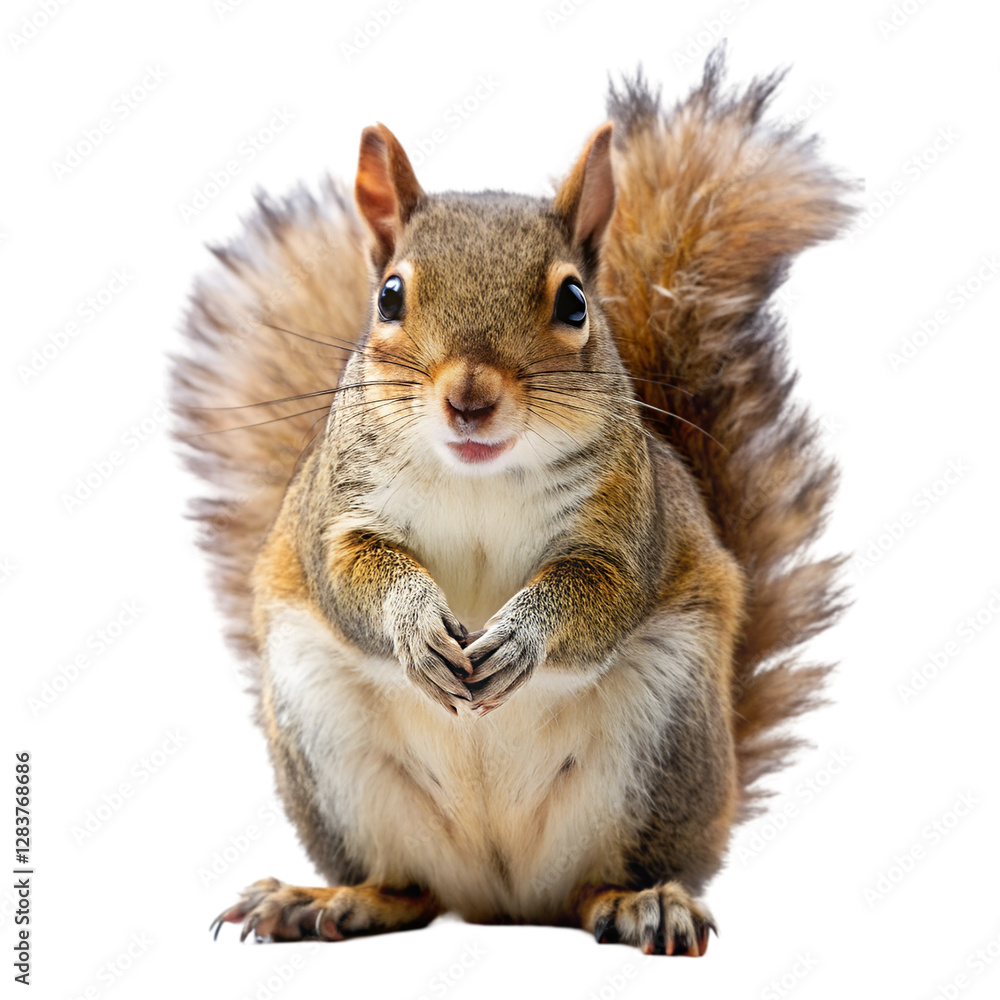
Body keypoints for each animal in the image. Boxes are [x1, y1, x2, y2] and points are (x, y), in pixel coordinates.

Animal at [173, 54, 854, 955]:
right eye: (389, 295)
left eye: (573, 302)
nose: (470, 398)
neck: (478, 480)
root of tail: (499, 896)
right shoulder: (335, 518)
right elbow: (349, 578)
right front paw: (415, 622)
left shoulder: (627, 527)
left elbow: (601, 595)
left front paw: (521, 638)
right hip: (325, 739)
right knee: (409, 887)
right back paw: (326, 902)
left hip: (662, 737)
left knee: (600, 880)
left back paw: (643, 902)